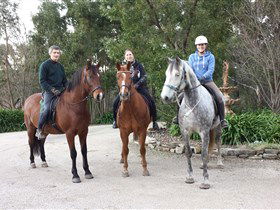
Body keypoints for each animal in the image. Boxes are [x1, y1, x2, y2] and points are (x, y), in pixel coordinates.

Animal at [162, 56, 223, 189]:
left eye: (177, 74)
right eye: (166, 74)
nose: (164, 97)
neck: (192, 103)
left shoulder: (204, 132)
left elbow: (203, 154)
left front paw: (205, 181)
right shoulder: (185, 131)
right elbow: (188, 152)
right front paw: (190, 177)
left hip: (218, 127)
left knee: (218, 142)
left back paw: (220, 162)